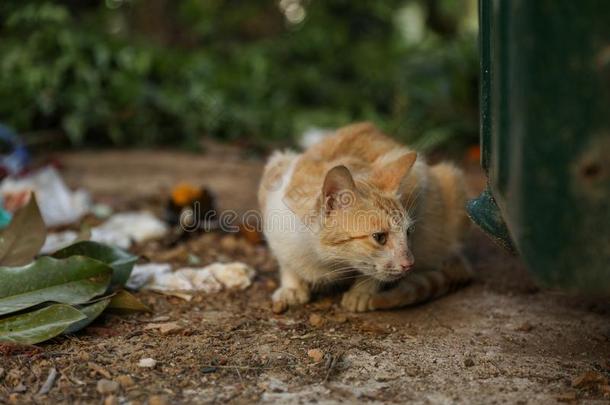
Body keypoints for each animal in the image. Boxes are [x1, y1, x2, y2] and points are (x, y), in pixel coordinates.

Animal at [258, 121, 470, 310]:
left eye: (409, 232)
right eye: (379, 237)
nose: (409, 264)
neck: (319, 257)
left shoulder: (418, 181)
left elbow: (372, 273)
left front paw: (363, 292)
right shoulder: (273, 181)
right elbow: (284, 260)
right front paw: (292, 286)